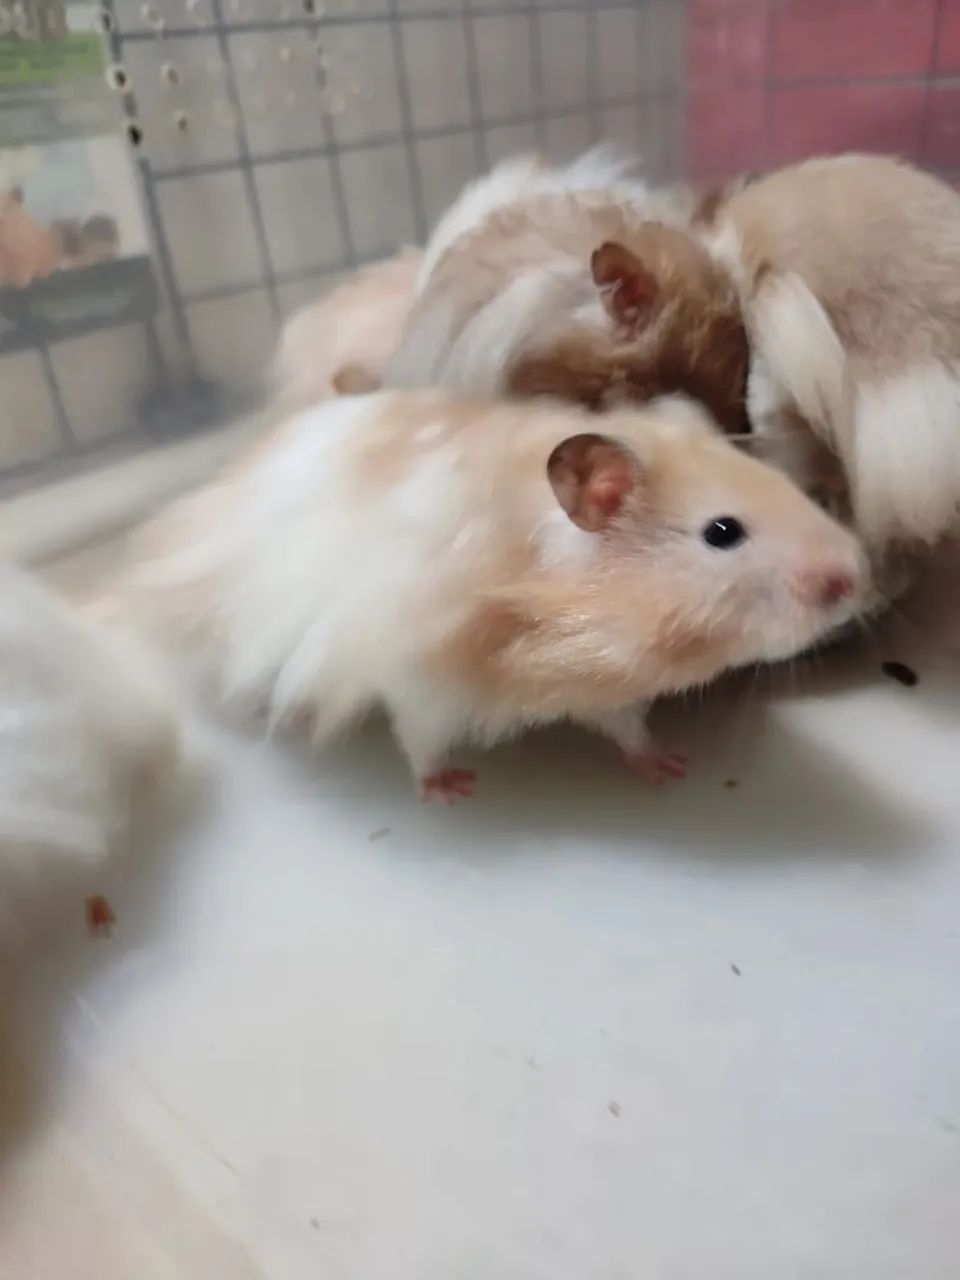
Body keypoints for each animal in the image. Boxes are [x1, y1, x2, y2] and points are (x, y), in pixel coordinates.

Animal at [125, 390, 864, 800]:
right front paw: (448, 792)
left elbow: (627, 728)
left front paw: (669, 767)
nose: (856, 577)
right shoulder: (420, 676)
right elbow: (419, 735)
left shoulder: (606, 690)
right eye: (722, 532)